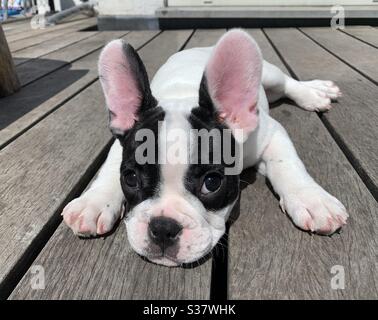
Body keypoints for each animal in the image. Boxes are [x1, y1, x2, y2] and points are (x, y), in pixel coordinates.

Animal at [62, 30, 348, 266]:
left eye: (212, 183)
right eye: (130, 178)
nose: (163, 227)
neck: (182, 97)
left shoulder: (270, 133)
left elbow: (288, 165)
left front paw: (313, 199)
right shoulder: (119, 144)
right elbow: (109, 169)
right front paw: (94, 202)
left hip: (269, 74)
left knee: (287, 82)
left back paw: (315, 93)